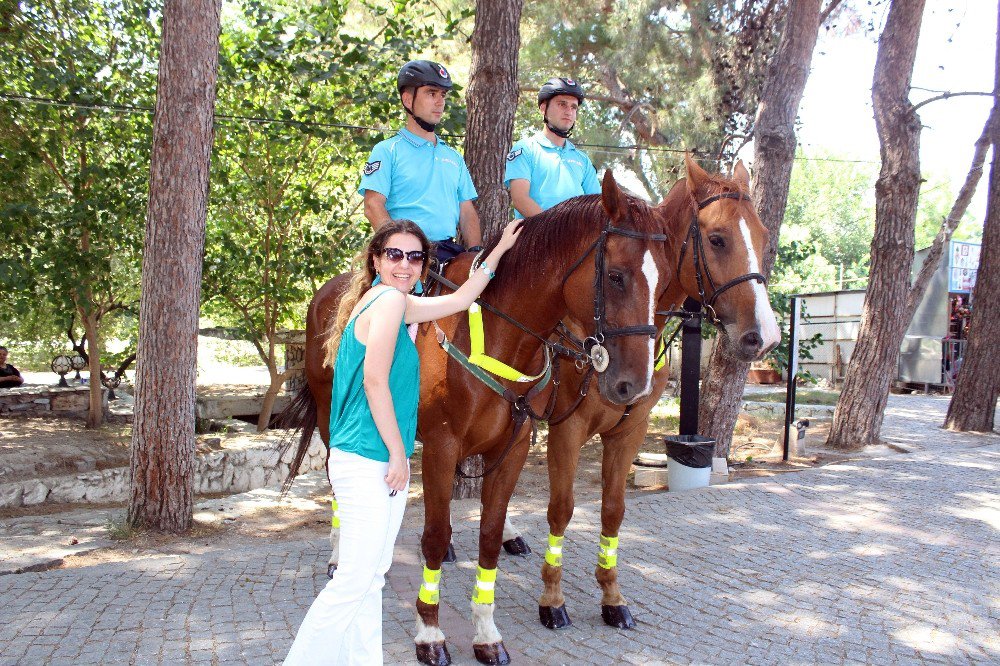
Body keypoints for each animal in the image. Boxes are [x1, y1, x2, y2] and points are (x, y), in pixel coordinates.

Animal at [532, 154, 780, 628]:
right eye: (717, 239)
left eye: (763, 239)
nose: (766, 337)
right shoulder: (566, 428)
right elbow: (561, 508)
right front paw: (552, 598)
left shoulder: (631, 430)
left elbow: (613, 509)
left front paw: (611, 595)